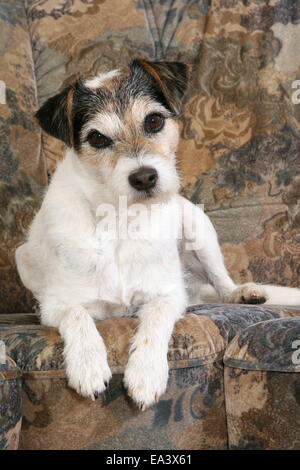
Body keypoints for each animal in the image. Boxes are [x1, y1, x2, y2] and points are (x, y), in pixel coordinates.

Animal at [14, 60, 300, 410]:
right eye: (97, 138)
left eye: (153, 120)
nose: (144, 177)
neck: (121, 218)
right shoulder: (57, 303)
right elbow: (77, 316)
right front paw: (87, 364)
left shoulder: (168, 294)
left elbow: (155, 321)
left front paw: (146, 373)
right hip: (23, 256)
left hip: (198, 225)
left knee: (221, 282)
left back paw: (242, 293)